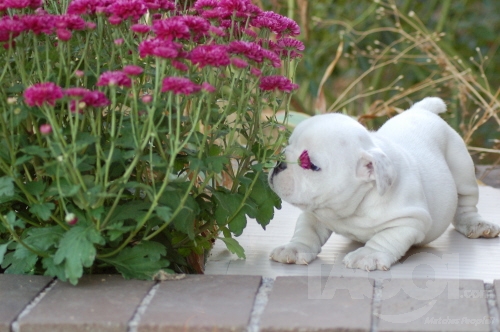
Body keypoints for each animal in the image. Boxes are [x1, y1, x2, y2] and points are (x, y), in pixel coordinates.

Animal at [270, 97, 500, 272]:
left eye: (311, 165)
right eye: (287, 147)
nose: (279, 164)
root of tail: (422, 110)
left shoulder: (408, 221)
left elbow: (385, 238)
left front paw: (367, 255)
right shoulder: (315, 213)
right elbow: (306, 231)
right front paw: (294, 248)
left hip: (462, 170)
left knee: (466, 203)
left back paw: (476, 224)